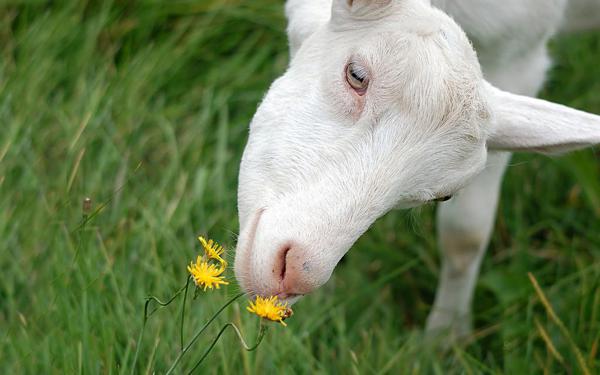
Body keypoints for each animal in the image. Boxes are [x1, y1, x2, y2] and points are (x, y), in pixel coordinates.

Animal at [233, 0, 600, 340]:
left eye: (443, 196)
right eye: (356, 75)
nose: (297, 273)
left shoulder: (519, 53)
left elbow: (465, 235)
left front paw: (446, 337)